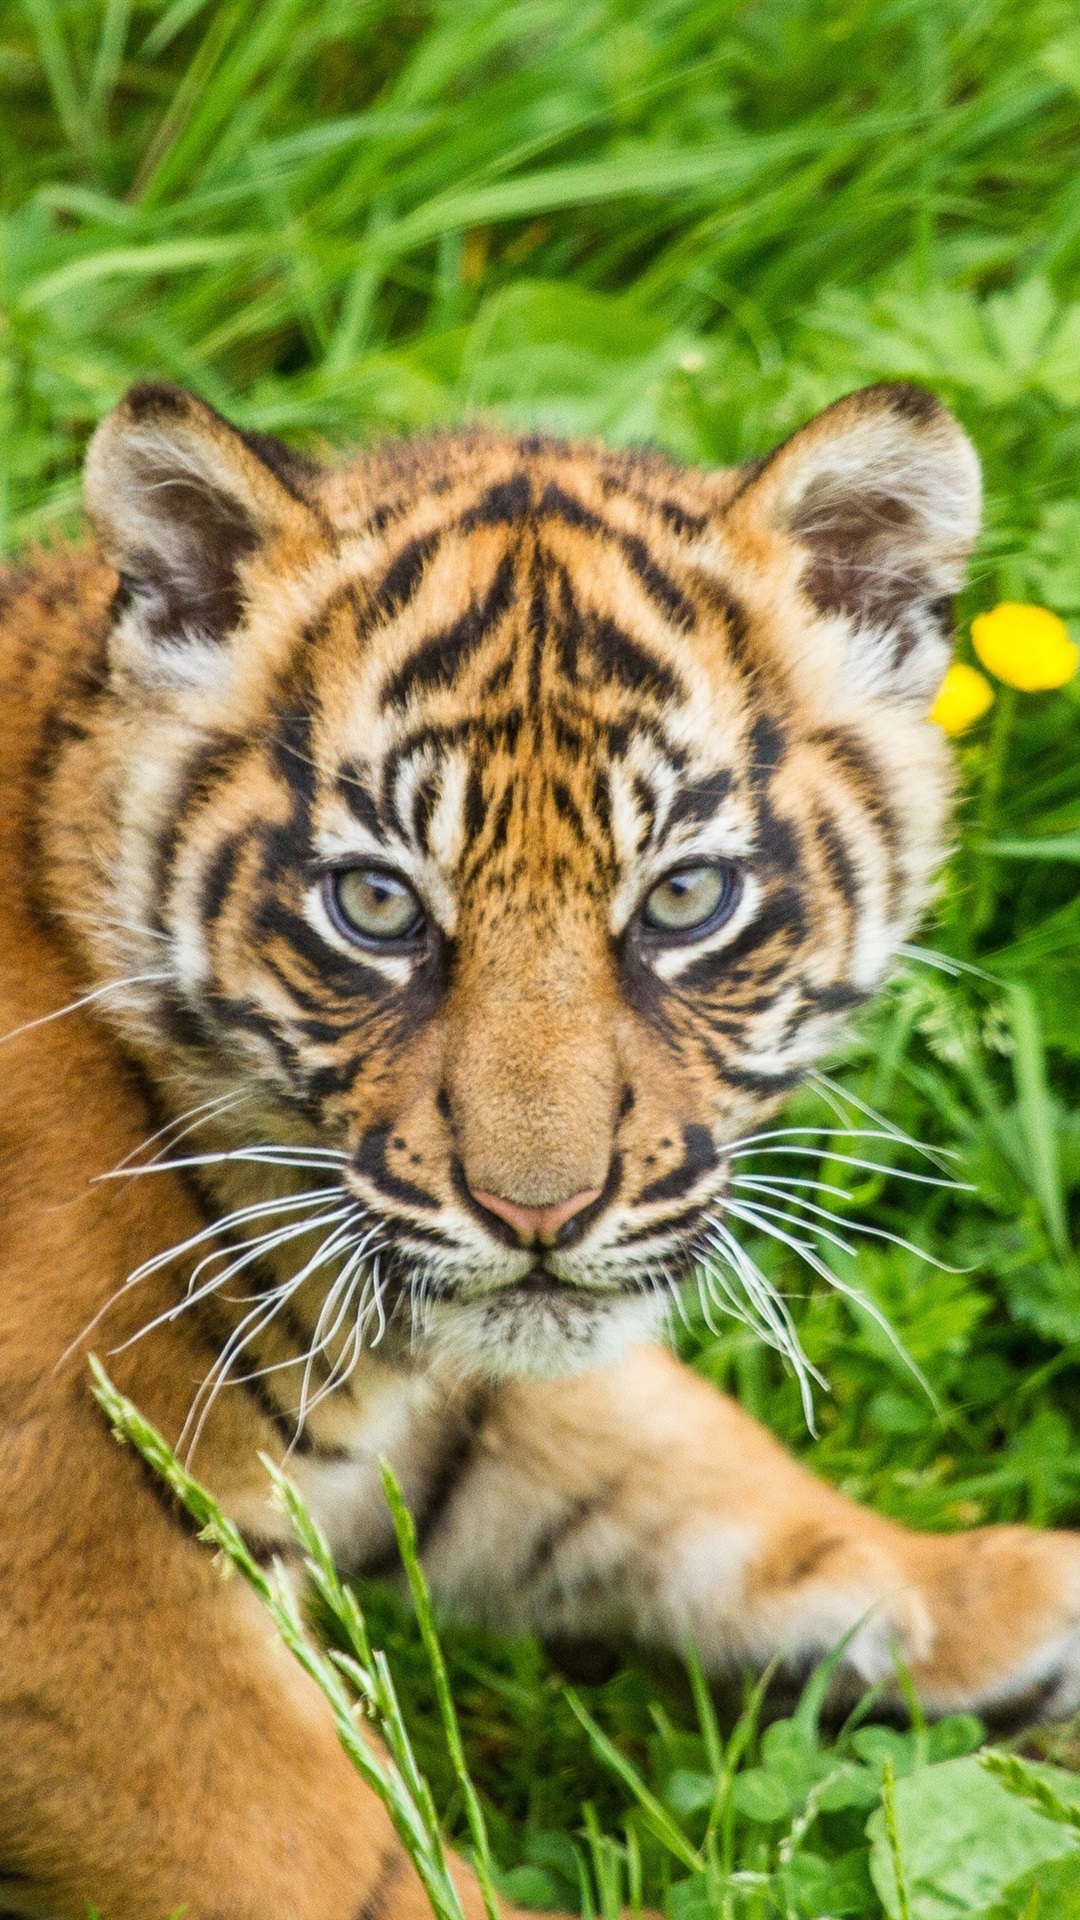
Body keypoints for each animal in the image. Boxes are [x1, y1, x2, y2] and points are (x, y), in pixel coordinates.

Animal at [4, 377, 1080, 1920]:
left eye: (685, 898)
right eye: (377, 906)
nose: (539, 1214)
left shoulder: (464, 1377)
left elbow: (681, 1471)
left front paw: (1002, 1597)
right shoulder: (81, 1572)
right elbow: (344, 1859)